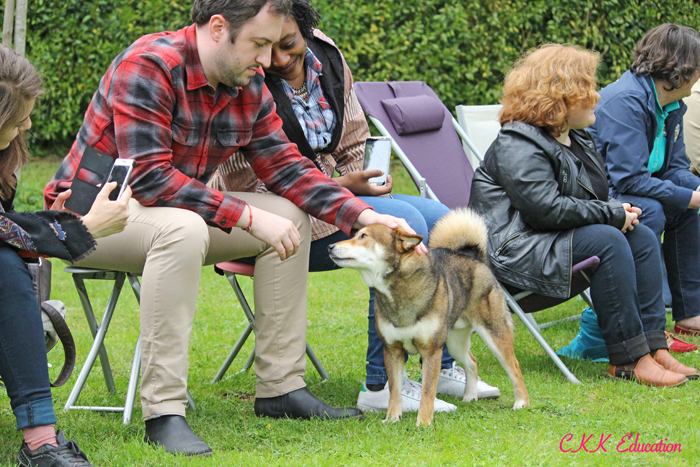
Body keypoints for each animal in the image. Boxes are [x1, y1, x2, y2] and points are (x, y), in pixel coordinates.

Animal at [330, 210, 528, 426]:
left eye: (363, 236)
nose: (330, 246)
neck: (399, 287)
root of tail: (474, 256)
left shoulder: (431, 351)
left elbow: (427, 392)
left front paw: (423, 423)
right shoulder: (392, 350)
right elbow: (394, 390)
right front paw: (392, 418)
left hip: (493, 334)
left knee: (514, 366)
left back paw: (521, 402)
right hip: (454, 342)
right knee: (472, 362)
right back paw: (469, 396)